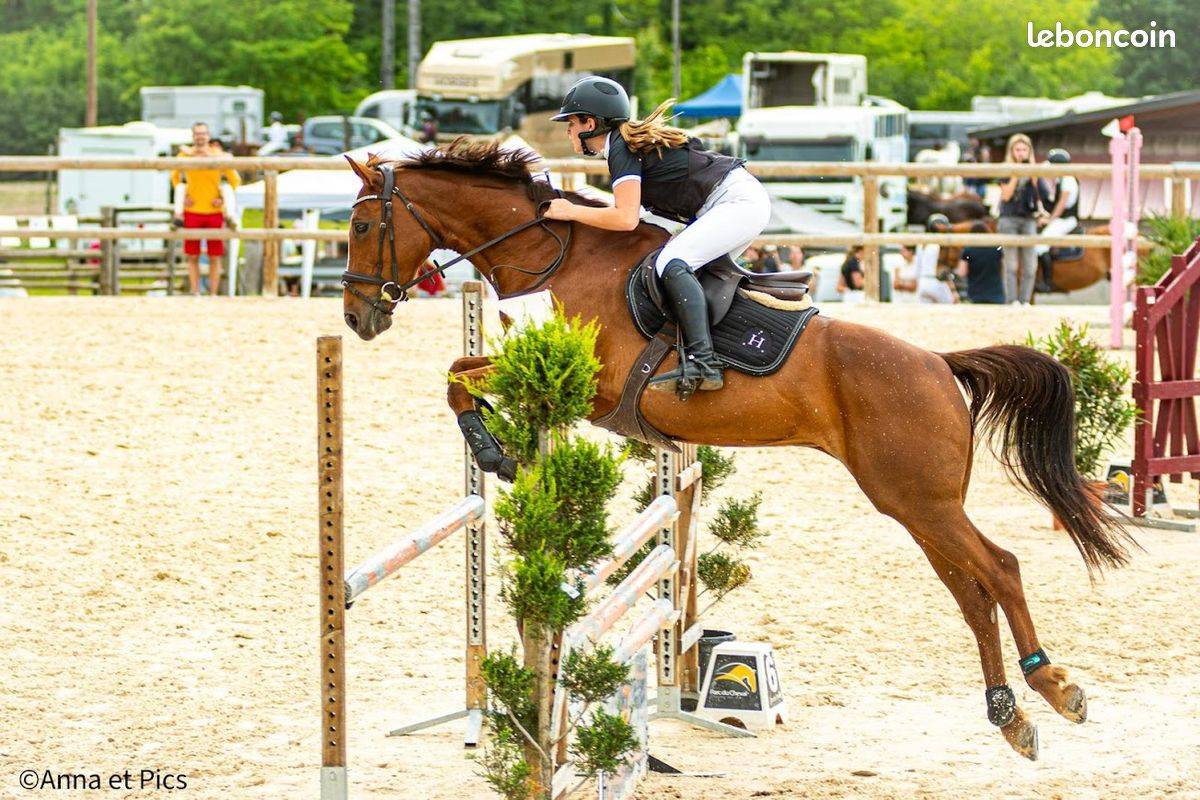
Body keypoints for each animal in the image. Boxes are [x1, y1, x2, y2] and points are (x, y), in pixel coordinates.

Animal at [341, 141, 1133, 761]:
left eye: (360, 224)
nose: (356, 317)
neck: (552, 252)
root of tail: (940, 364)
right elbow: (460, 373)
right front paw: (498, 447)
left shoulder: (589, 382)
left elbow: (459, 378)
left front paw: (495, 451)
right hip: (915, 504)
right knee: (971, 593)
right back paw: (1009, 715)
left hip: (921, 499)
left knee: (999, 569)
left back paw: (1052, 687)